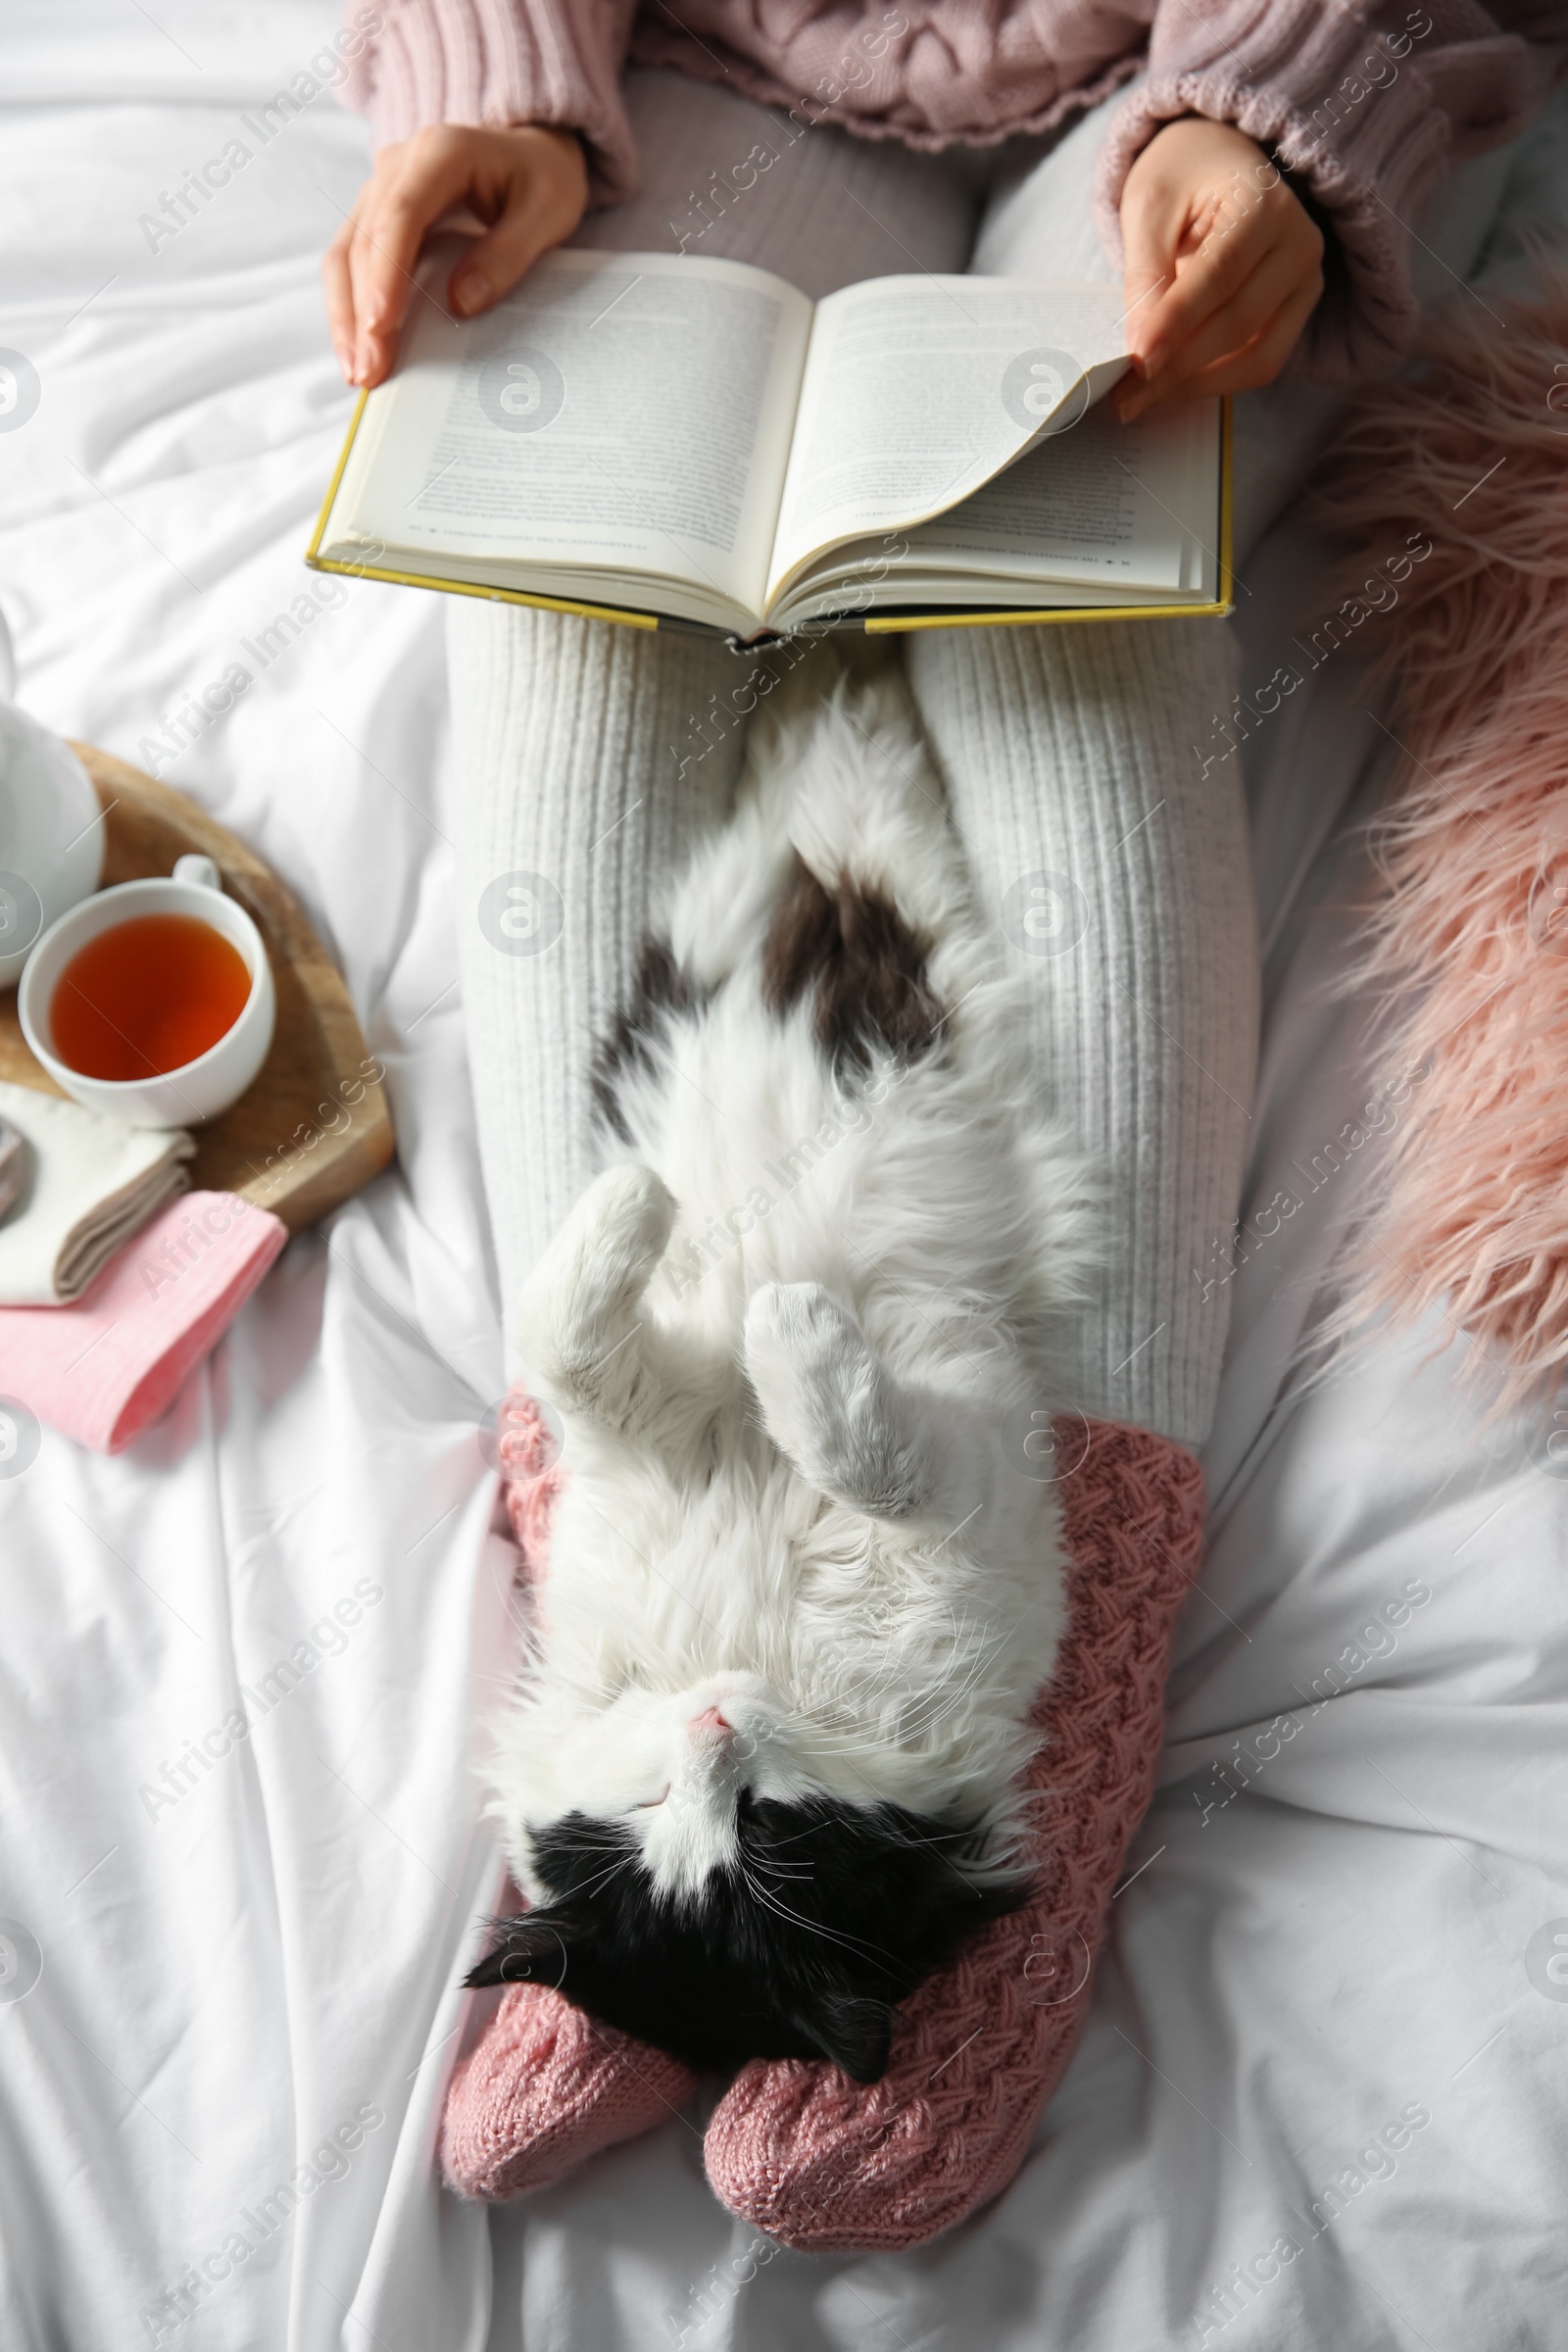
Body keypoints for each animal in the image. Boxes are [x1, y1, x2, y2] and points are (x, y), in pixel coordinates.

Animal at [472, 654, 1100, 2088]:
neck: (747, 1652)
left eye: (763, 1833)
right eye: (666, 1809)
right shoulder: (679, 1429)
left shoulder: (932, 1481)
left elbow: (588, 1333)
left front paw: (731, 1279)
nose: (713, 1728)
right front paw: (774, 1313)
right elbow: (600, 1344)